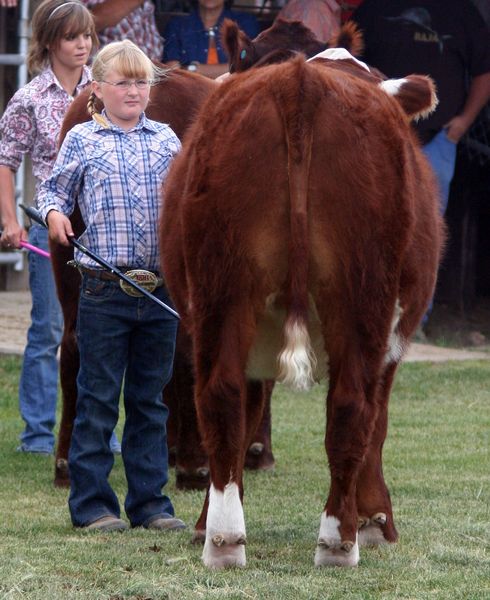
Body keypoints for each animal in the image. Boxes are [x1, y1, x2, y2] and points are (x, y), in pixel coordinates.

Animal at [161, 48, 444, 568]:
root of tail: (301, 81)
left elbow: (246, 420)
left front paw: (203, 521)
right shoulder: (393, 341)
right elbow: (378, 423)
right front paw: (376, 520)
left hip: (222, 290)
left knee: (222, 396)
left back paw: (223, 539)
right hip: (362, 296)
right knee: (353, 405)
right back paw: (339, 539)